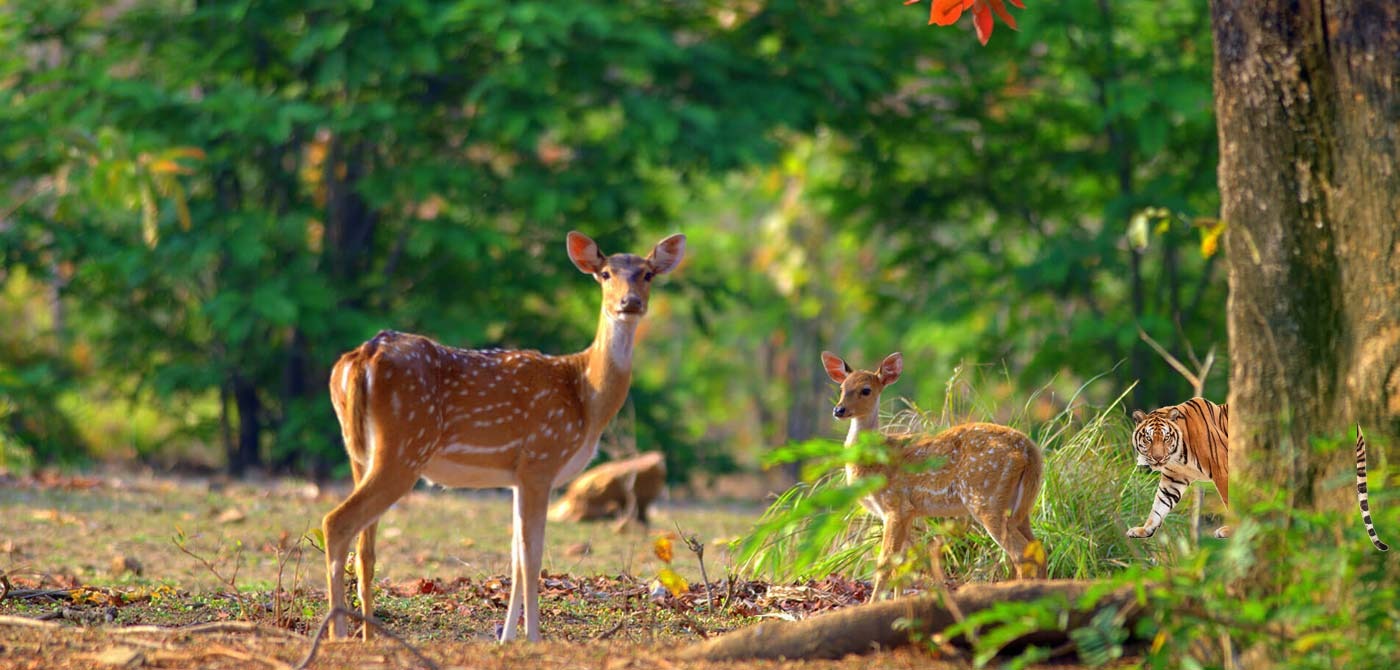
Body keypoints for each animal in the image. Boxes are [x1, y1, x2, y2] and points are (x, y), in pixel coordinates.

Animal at [322, 232, 683, 646]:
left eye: (648, 273)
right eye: (605, 273)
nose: (630, 303)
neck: (586, 396)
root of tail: (362, 356)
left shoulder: (516, 475)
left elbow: (515, 553)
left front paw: (508, 637)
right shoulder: (542, 456)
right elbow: (532, 553)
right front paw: (533, 638)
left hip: (359, 451)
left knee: (364, 545)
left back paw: (367, 634)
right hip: (404, 445)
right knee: (336, 522)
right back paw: (338, 633)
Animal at [817, 351, 1041, 598]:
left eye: (866, 390)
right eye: (841, 388)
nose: (838, 410)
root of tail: (1029, 450)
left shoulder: (896, 505)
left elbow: (885, 562)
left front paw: (874, 602)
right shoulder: (908, 513)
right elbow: (902, 564)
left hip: (986, 498)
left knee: (1021, 552)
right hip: (1020, 505)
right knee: (1038, 547)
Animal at [1125, 397, 1388, 551]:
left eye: (1165, 437)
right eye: (1148, 438)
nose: (1157, 458)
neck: (1176, 454)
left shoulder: (1222, 469)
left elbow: (1230, 501)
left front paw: (1230, 531)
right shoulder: (1174, 478)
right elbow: (1159, 506)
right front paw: (1144, 530)